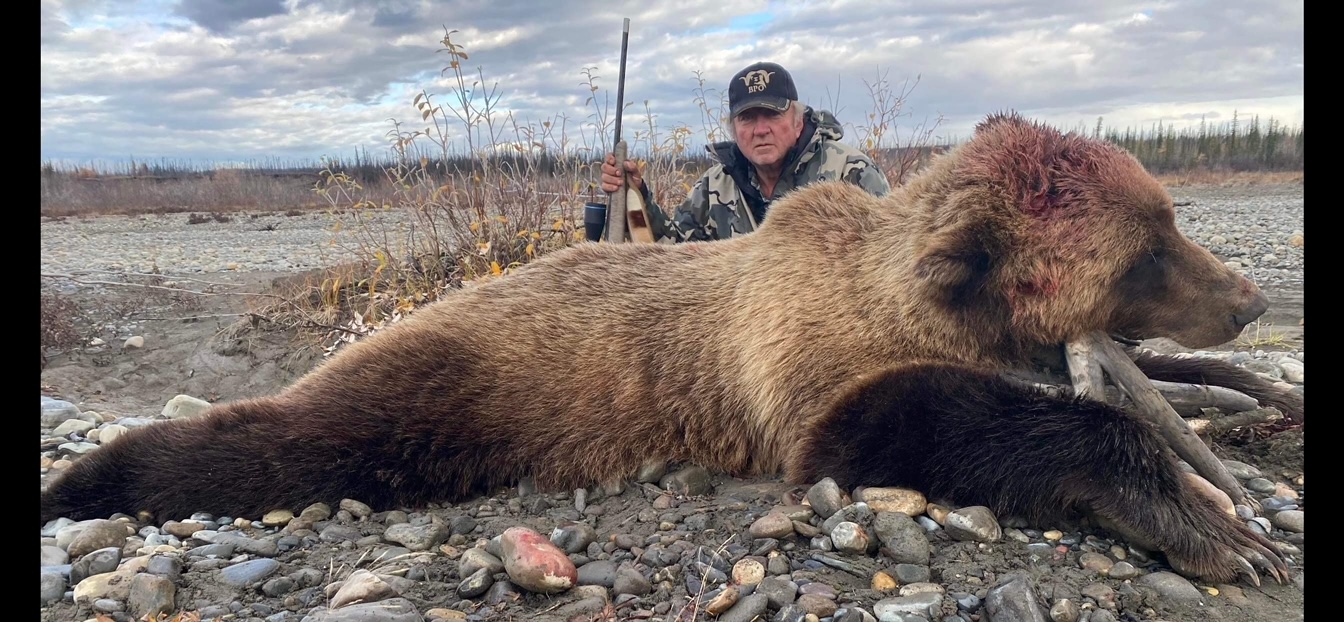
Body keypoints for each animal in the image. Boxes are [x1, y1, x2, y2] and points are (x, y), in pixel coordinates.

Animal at [44, 114, 1300, 585]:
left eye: (1170, 217)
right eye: (1150, 244)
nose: (1247, 298)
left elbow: (1156, 383)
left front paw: (1245, 394)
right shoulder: (803, 360)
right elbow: (882, 422)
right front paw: (1207, 518)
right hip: (462, 383)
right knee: (293, 437)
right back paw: (88, 477)